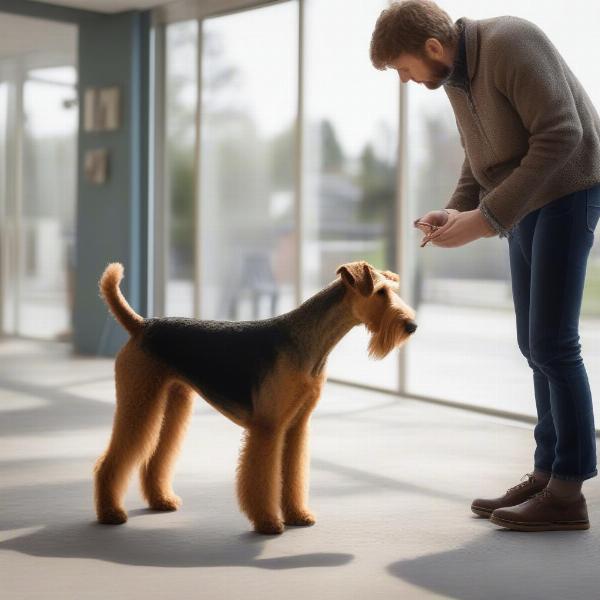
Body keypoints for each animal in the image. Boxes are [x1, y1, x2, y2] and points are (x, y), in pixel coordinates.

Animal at [94, 260, 418, 532]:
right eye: (380, 292)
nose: (412, 326)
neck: (310, 342)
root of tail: (140, 324)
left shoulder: (296, 426)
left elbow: (293, 475)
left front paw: (298, 515)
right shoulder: (268, 427)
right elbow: (262, 478)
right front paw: (269, 523)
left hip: (173, 401)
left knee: (156, 456)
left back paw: (161, 500)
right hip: (139, 399)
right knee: (111, 461)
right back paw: (111, 513)